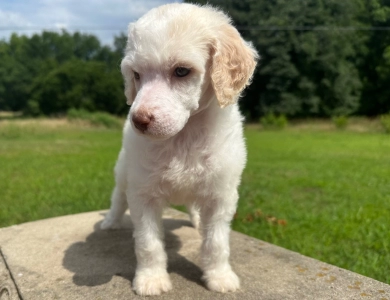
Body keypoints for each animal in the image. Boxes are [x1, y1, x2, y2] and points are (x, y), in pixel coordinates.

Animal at [102, 2, 258, 296]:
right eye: (136, 75)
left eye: (182, 71)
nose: (138, 121)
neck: (183, 136)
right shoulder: (143, 193)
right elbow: (148, 243)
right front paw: (151, 280)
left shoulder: (221, 194)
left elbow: (216, 242)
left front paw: (220, 277)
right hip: (123, 171)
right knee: (118, 197)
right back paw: (110, 222)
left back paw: (197, 222)